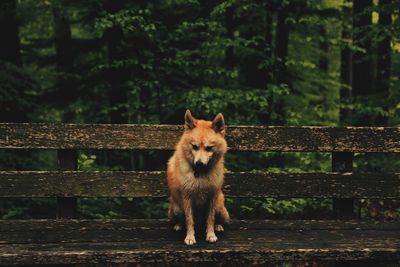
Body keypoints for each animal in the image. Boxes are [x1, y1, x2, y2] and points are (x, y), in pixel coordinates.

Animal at [166, 110, 228, 246]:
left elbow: (210, 219)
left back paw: (218, 226)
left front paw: (210, 234)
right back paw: (179, 225)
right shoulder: (187, 197)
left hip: (219, 206)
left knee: (216, 219)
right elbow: (189, 220)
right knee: (182, 219)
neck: (201, 174)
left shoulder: (212, 196)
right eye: (194, 146)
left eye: (209, 148)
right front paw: (190, 237)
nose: (199, 163)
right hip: (177, 208)